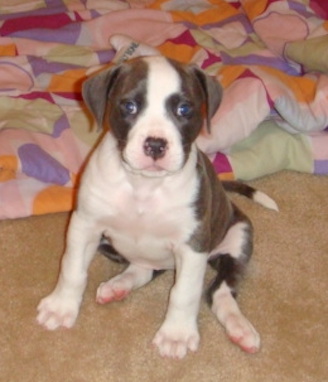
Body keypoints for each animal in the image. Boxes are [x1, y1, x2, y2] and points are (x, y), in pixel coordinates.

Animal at [36, 55, 276, 360]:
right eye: (129, 106)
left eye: (184, 109)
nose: (155, 145)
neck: (144, 186)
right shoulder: (85, 225)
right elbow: (72, 268)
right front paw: (61, 307)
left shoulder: (192, 245)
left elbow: (184, 292)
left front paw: (176, 335)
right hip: (110, 245)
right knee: (143, 268)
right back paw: (117, 286)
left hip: (239, 236)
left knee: (219, 292)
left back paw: (239, 327)